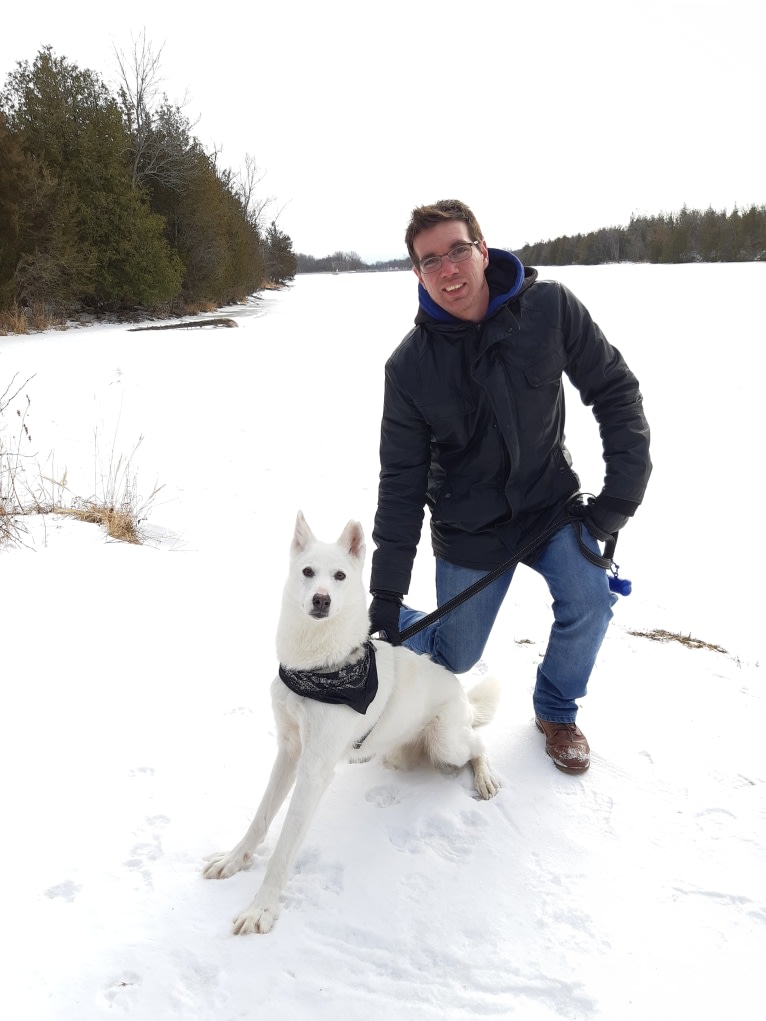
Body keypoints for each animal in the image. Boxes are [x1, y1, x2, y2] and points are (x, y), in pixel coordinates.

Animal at [204, 510, 504, 935]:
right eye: (308, 572)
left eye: (340, 576)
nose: (321, 599)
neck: (318, 669)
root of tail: (460, 692)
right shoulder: (289, 750)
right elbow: (260, 819)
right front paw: (234, 860)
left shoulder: (313, 770)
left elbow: (284, 849)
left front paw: (261, 908)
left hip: (447, 742)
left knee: (477, 745)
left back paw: (485, 776)